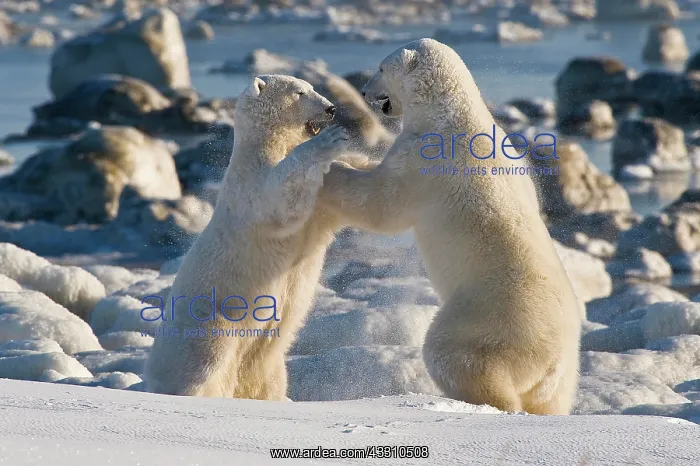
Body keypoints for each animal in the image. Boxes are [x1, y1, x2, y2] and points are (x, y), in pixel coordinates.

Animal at [144, 74, 358, 399]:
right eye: (300, 92)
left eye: (312, 88)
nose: (331, 109)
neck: (264, 147)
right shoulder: (249, 188)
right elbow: (278, 197)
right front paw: (331, 140)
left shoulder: (317, 205)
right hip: (212, 319)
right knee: (205, 360)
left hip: (266, 360)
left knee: (264, 373)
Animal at [318, 39, 582, 415]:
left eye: (382, 68)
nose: (366, 92)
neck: (451, 113)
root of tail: (551, 359)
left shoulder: (425, 157)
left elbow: (382, 204)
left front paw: (331, 168)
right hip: (563, 375)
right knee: (549, 399)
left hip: (486, 321)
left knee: (454, 356)